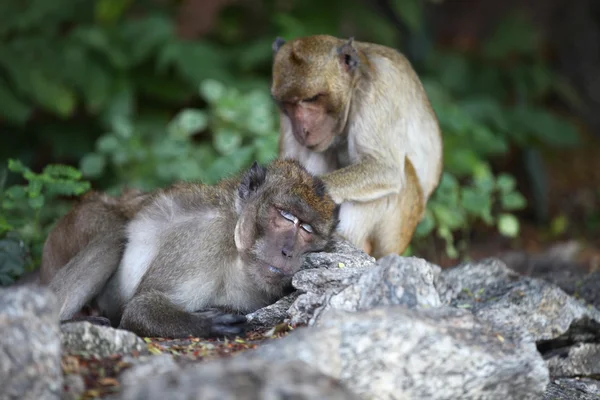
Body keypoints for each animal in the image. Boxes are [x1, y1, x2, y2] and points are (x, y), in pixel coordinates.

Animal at [39, 159, 340, 338]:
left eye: (307, 229)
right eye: (286, 216)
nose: (288, 252)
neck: (236, 256)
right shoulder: (202, 240)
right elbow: (141, 307)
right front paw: (207, 324)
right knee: (113, 238)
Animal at [270, 34, 442, 260]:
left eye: (311, 99)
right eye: (288, 104)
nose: (302, 129)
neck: (355, 83)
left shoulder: (377, 90)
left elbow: (384, 169)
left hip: (397, 232)